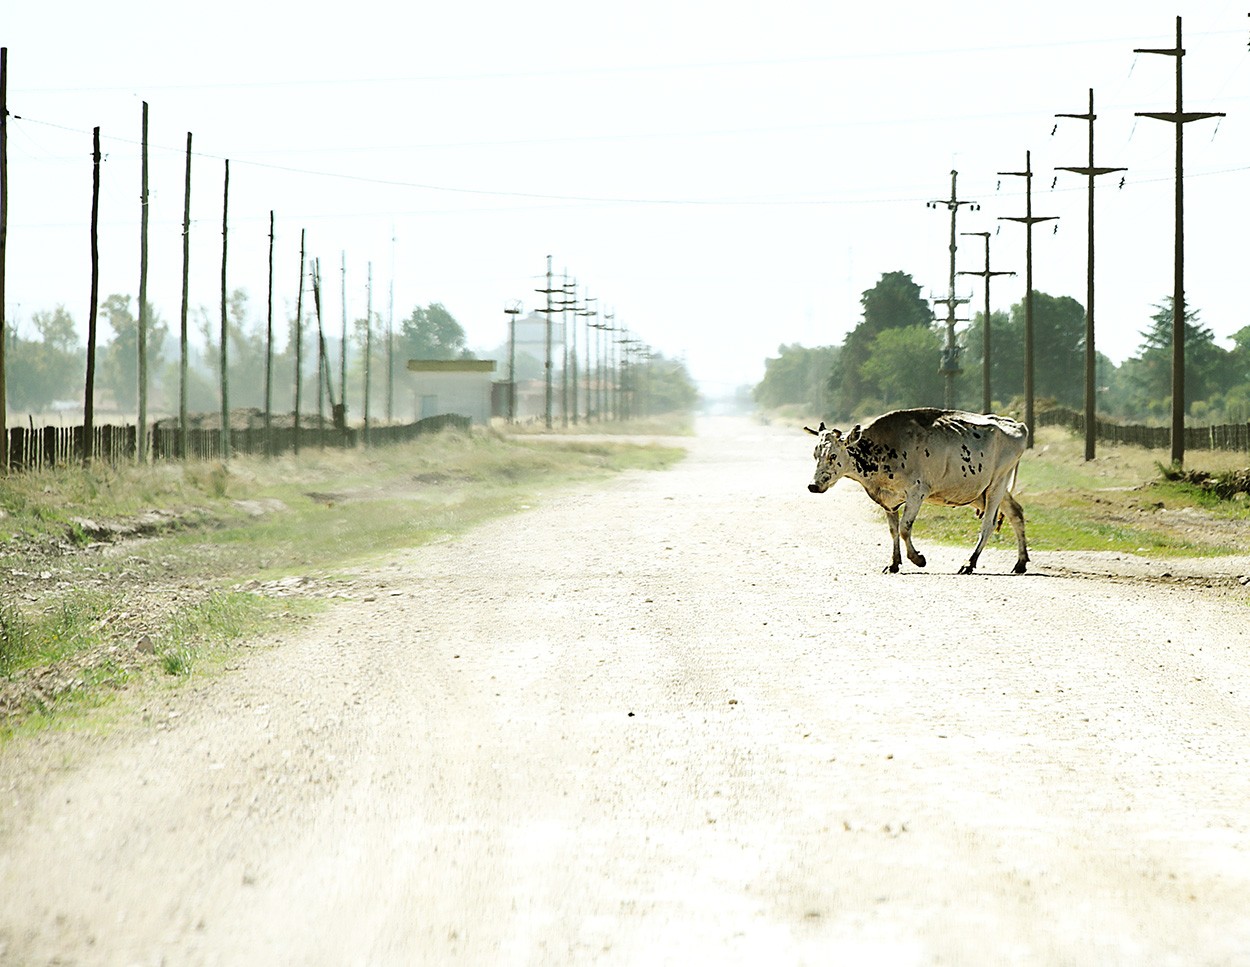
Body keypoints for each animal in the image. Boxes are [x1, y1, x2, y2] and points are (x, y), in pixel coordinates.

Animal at [805, 407, 1030, 574]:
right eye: (815, 454)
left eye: (833, 455)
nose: (813, 485)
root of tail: (1017, 425)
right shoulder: (889, 500)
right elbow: (893, 530)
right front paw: (894, 563)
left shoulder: (916, 492)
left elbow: (905, 528)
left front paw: (917, 559)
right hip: (990, 490)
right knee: (1016, 513)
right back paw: (1020, 563)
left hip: (997, 484)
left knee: (988, 524)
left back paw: (969, 563)